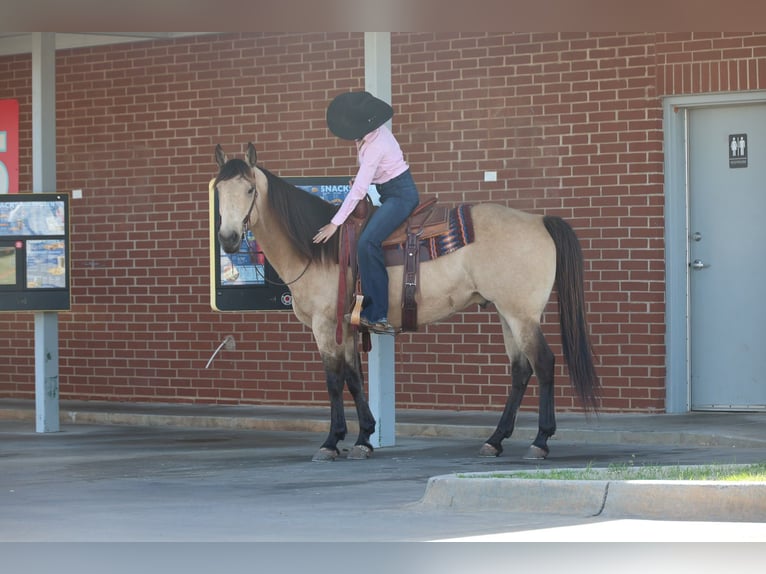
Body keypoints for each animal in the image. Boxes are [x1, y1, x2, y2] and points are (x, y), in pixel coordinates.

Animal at [213, 142, 600, 462]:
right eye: (218, 190)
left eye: (249, 189)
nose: (229, 239)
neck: (318, 248)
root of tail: (539, 221)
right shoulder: (348, 327)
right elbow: (354, 377)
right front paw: (364, 438)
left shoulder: (326, 325)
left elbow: (334, 380)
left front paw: (332, 441)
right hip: (508, 314)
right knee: (521, 370)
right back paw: (495, 440)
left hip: (521, 315)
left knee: (544, 364)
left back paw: (540, 441)